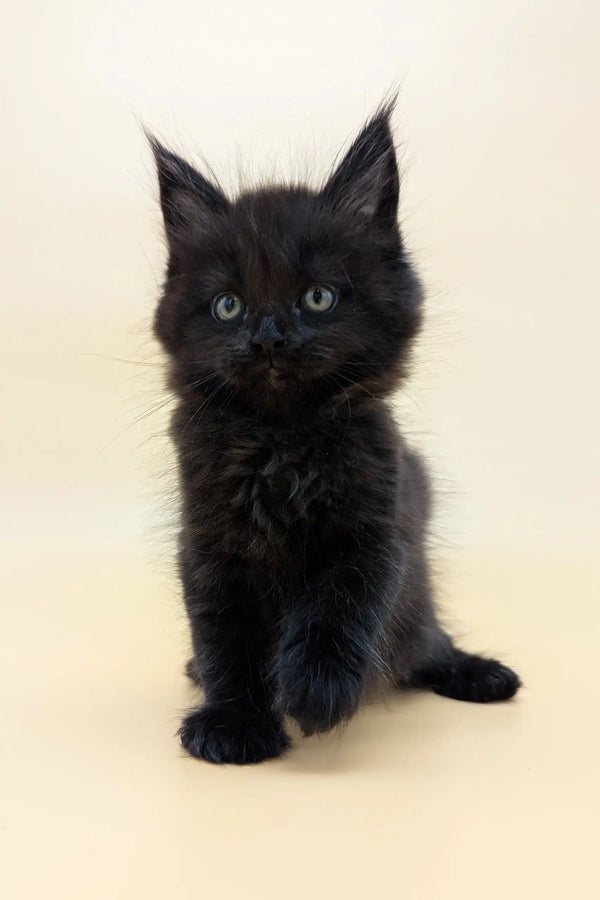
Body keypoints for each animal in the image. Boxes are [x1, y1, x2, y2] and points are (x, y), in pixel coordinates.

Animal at [150, 103, 520, 768]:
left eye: (317, 298)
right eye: (228, 306)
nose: (269, 338)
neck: (282, 443)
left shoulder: (377, 528)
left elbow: (338, 604)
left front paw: (315, 692)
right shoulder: (209, 541)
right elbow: (225, 633)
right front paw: (233, 722)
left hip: (417, 603)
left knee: (426, 644)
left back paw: (474, 671)